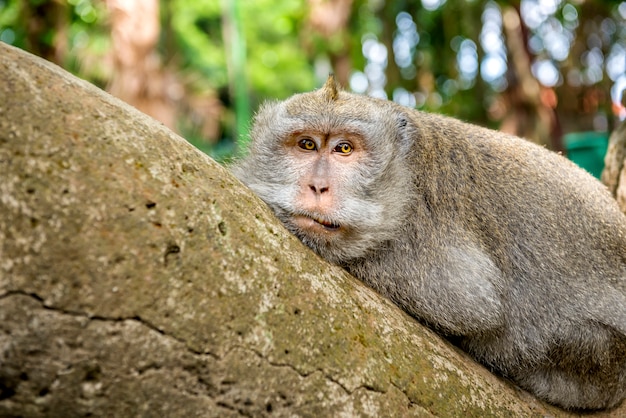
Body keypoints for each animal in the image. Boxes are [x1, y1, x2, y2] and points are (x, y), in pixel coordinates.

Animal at [229, 76, 624, 412]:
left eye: (344, 148)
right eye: (307, 144)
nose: (318, 186)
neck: (403, 175)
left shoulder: (425, 222)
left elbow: (470, 300)